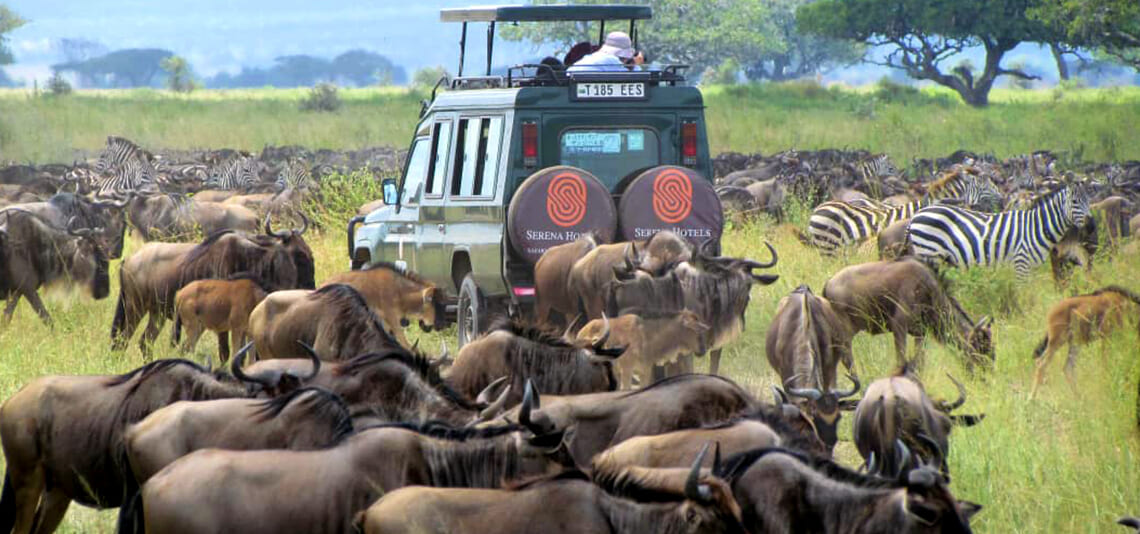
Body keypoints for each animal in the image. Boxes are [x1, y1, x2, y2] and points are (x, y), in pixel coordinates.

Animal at [321, 261, 449, 346]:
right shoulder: (393, 320)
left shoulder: (387, 323)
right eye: (437, 304)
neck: (399, 290)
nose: (442, 324)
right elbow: (405, 343)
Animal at [902, 182, 1089, 277]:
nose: (1091, 224)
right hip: (929, 253)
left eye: (1088, 200)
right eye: (1075, 202)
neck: (1036, 227)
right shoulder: (1021, 262)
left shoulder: (1032, 267)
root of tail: (916, 215)